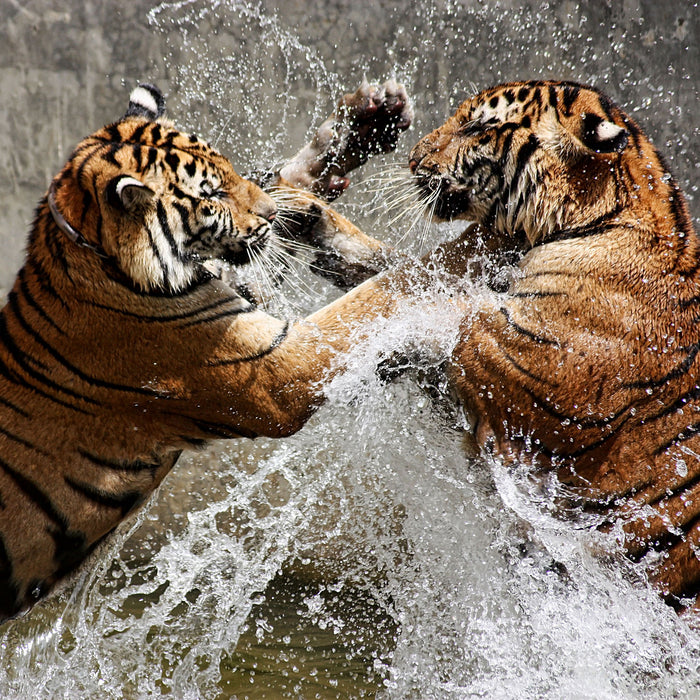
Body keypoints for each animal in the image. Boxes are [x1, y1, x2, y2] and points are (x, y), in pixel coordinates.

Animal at [0, 79, 442, 620]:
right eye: (211, 194)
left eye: (230, 169)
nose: (270, 214)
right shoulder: (275, 371)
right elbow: (369, 298)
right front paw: (455, 262)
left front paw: (365, 121)